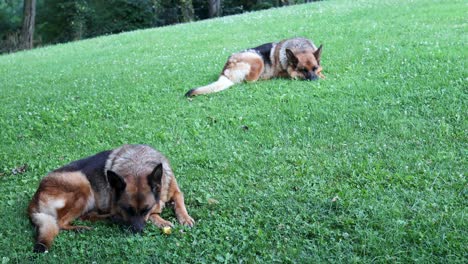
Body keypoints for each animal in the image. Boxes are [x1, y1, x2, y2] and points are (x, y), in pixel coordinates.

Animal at [185, 37, 324, 97]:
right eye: (303, 70)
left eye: (314, 68)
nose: (315, 81)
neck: (300, 48)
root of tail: (225, 70)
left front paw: (322, 76)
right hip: (257, 59)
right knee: (249, 81)